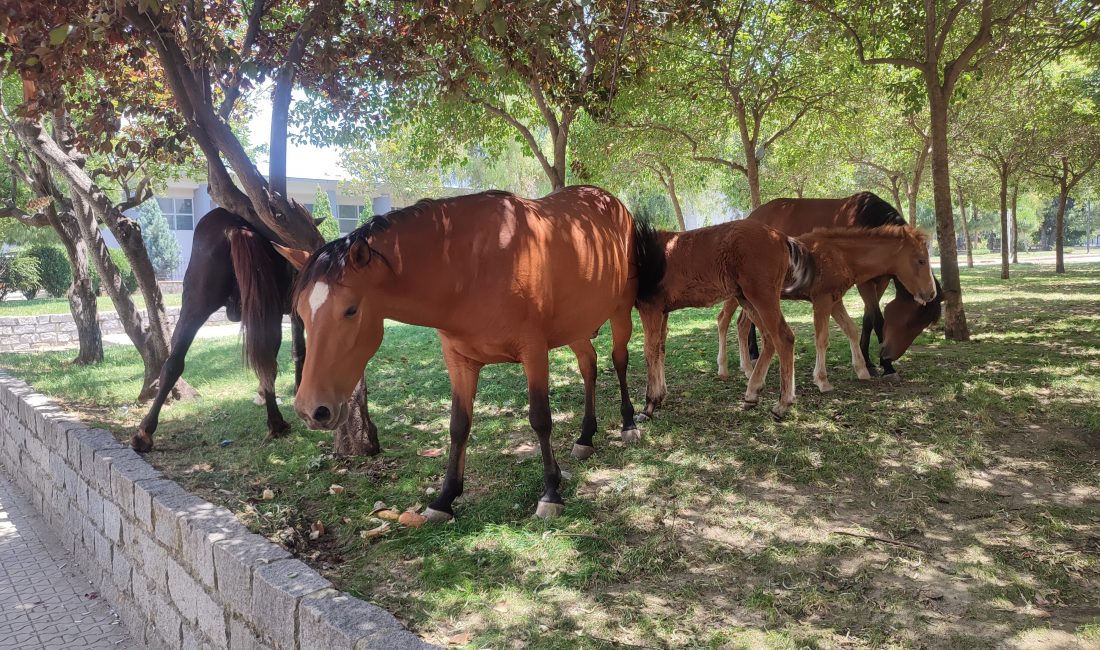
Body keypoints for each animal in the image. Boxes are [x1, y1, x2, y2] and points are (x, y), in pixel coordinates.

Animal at [279, 185, 664, 521]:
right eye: (301, 313)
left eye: (350, 310)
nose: (312, 410)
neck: (472, 265)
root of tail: (611, 202)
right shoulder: (459, 361)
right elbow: (458, 425)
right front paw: (444, 499)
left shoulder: (534, 352)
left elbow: (540, 419)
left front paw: (551, 493)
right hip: (575, 326)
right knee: (589, 364)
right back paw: (585, 437)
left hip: (619, 310)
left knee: (618, 360)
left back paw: (629, 424)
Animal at [642, 221, 805, 420]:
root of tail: (779, 236)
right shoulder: (663, 311)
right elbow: (660, 349)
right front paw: (660, 396)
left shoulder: (650, 307)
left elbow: (650, 350)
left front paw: (649, 404)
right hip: (746, 299)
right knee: (769, 337)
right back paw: (752, 393)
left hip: (761, 296)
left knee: (784, 337)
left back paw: (781, 404)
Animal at [721, 190, 946, 378]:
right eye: (909, 322)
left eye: (922, 325)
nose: (889, 355)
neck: (867, 218)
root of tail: (752, 216)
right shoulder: (864, 282)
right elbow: (877, 318)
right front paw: (884, 366)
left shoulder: (881, 281)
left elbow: (868, 319)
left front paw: (868, 361)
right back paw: (753, 354)